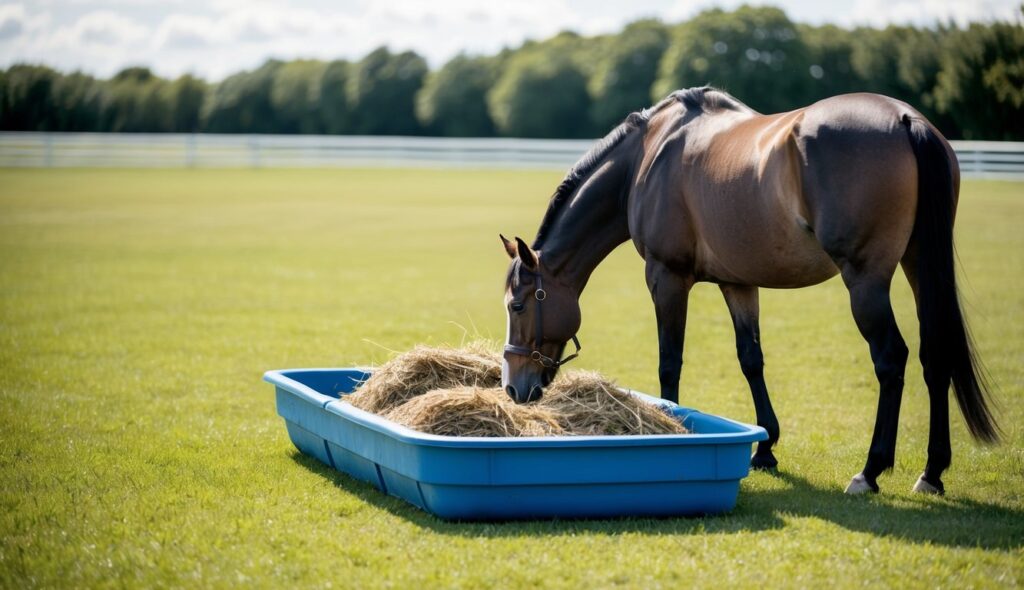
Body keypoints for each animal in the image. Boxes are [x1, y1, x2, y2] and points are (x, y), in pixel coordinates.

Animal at [501, 86, 999, 493]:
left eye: (518, 304)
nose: (512, 386)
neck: (648, 158)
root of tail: (904, 119)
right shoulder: (738, 283)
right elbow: (751, 359)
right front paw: (766, 448)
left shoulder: (666, 278)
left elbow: (669, 363)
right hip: (920, 266)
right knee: (936, 357)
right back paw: (932, 472)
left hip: (866, 282)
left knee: (891, 359)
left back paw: (870, 471)